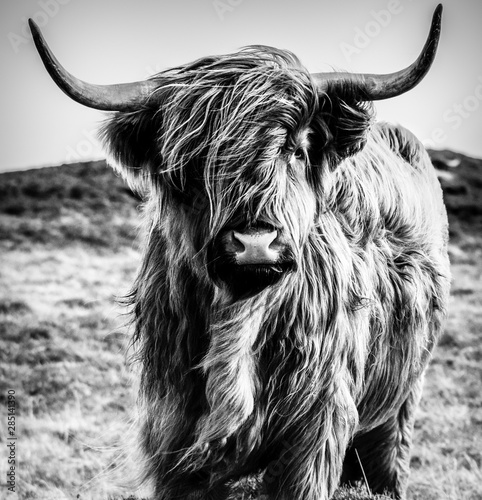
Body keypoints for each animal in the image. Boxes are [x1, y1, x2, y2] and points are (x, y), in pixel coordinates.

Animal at [30, 4, 452, 500]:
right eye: (191, 163)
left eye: (297, 150)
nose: (255, 243)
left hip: (401, 399)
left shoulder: (316, 427)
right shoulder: (172, 431)